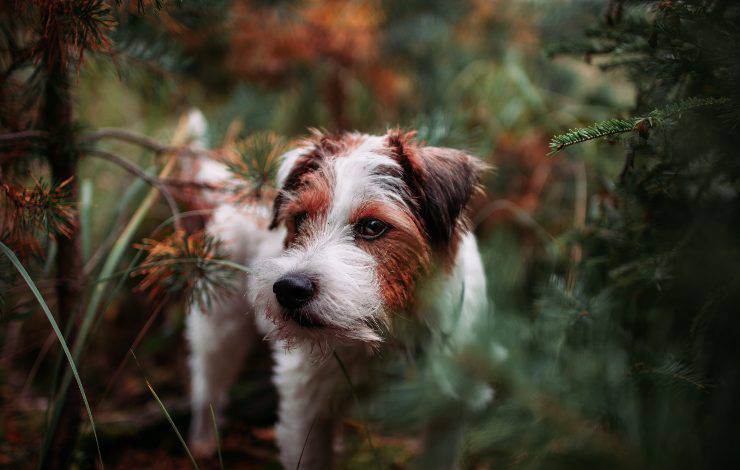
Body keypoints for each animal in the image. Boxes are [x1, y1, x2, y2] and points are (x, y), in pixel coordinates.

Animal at [183, 112, 488, 468]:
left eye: (373, 226)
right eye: (300, 219)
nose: (289, 289)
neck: (385, 339)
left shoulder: (447, 414)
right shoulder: (305, 407)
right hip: (219, 326)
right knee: (206, 385)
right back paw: (203, 442)